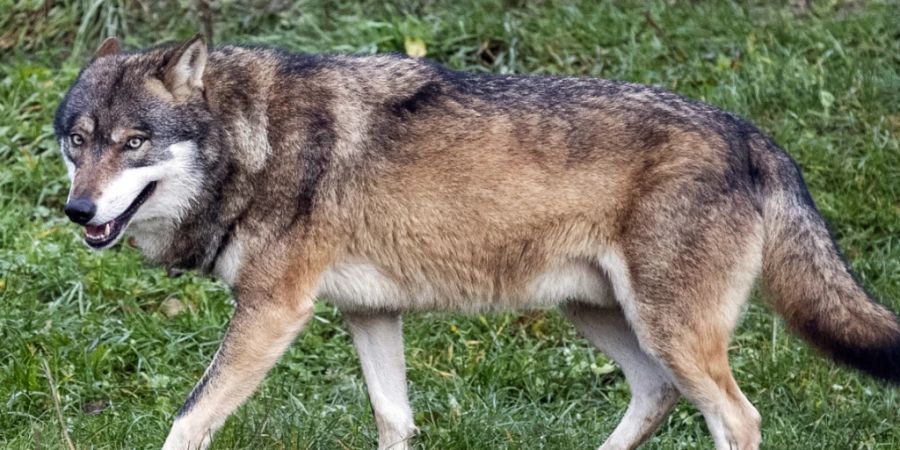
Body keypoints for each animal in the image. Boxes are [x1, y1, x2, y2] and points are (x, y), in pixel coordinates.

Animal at [56, 36, 900, 450]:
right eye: (78, 141)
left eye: (134, 142)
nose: (77, 209)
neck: (252, 141)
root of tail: (756, 137)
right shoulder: (368, 314)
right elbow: (394, 423)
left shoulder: (272, 310)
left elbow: (188, 419)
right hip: (599, 316)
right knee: (655, 396)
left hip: (667, 329)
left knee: (739, 419)